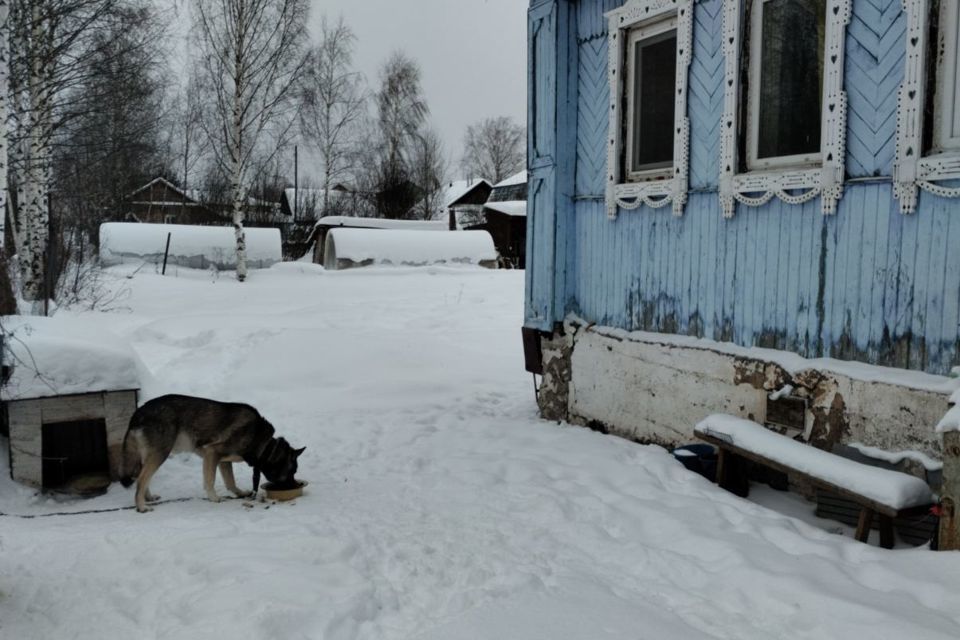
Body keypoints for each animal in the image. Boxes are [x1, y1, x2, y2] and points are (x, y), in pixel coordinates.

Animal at [122, 392, 304, 512]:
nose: (296, 486)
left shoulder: (223, 461)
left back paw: (148, 498)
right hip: (161, 453)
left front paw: (240, 493)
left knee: (143, 477)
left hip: (151, 455)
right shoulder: (212, 453)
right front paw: (214, 498)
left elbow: (230, 482)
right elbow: (210, 480)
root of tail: (138, 413)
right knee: (141, 479)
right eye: (292, 472)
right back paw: (141, 506)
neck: (265, 446)